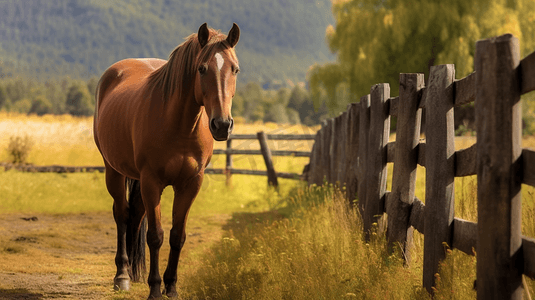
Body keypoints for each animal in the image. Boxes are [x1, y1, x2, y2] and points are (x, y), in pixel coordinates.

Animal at [94, 22, 241, 298]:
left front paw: (171, 287)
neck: (180, 126)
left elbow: (177, 236)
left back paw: (134, 273)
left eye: (235, 69)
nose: (222, 125)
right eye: (202, 68)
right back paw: (122, 276)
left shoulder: (190, 184)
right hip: (114, 172)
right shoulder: (152, 182)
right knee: (122, 215)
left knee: (135, 214)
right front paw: (154, 288)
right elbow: (155, 236)